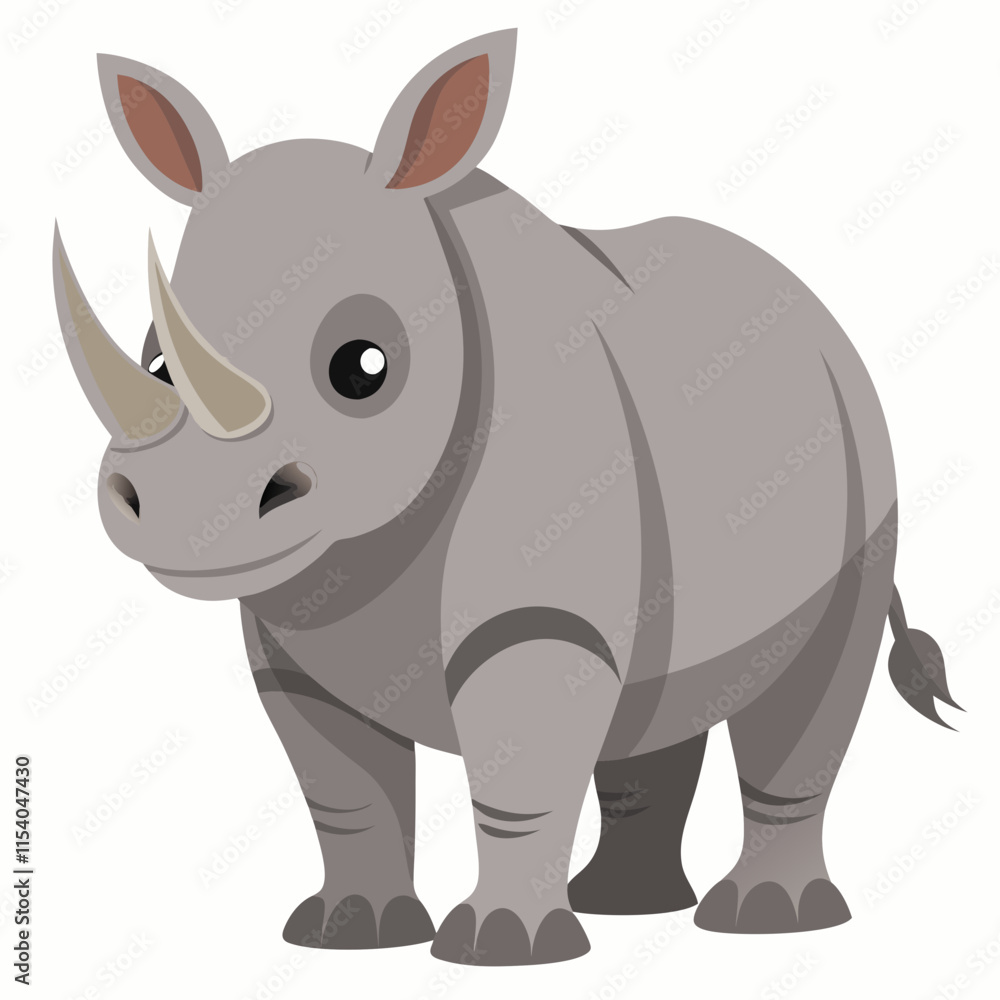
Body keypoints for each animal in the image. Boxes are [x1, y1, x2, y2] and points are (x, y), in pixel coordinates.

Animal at [53, 29, 961, 965]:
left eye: (363, 368)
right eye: (157, 361)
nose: (183, 508)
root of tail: (816, 314)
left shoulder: (537, 610)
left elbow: (521, 768)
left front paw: (501, 948)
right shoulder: (293, 644)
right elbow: (344, 789)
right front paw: (348, 933)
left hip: (862, 448)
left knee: (813, 686)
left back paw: (767, 917)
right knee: (654, 694)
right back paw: (625, 907)